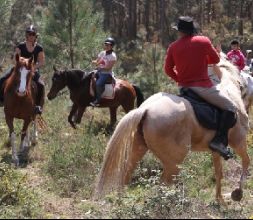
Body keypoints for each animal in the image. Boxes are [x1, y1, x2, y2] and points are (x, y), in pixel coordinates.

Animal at [96, 55, 250, 204]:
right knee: (164, 183)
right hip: (174, 161)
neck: (230, 94)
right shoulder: (239, 142)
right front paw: (237, 193)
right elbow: (246, 162)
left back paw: (122, 201)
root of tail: (145, 109)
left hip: (138, 149)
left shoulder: (216, 150)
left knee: (127, 175)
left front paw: (220, 200)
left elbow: (219, 173)